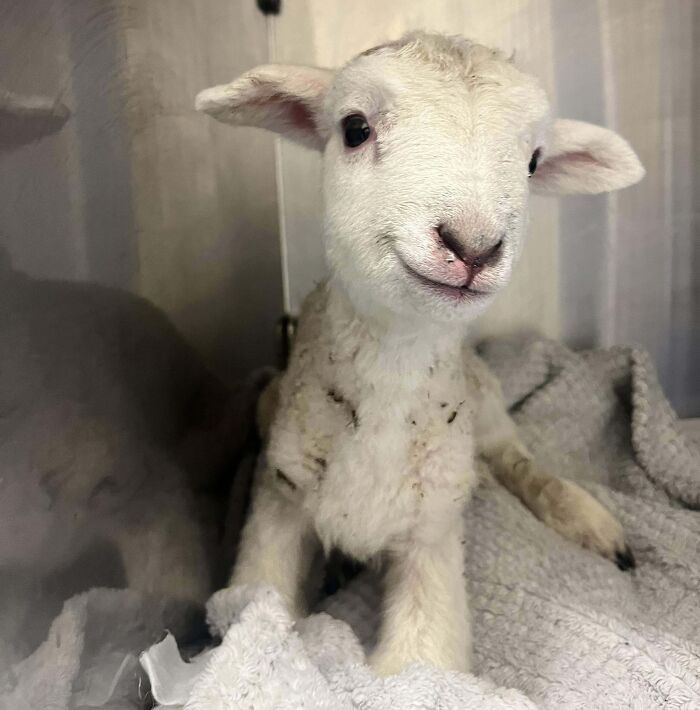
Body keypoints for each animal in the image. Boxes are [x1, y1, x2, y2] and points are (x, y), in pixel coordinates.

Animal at [196, 32, 644, 676]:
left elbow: (419, 668)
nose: (473, 246)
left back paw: (591, 522)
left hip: (485, 404)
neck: (395, 359)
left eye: (533, 162)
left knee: (516, 461)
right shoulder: (278, 503)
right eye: (354, 128)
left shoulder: (431, 533)